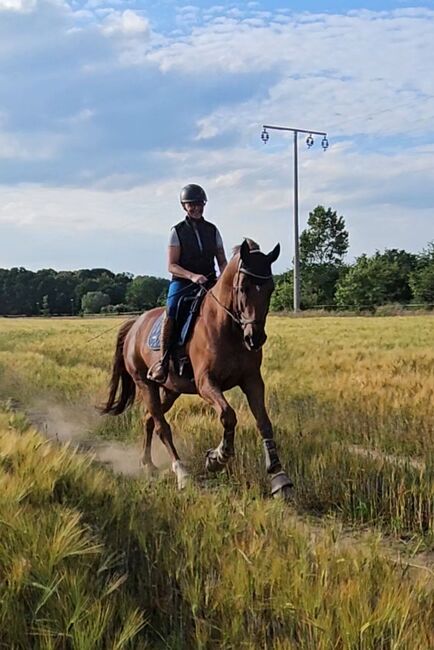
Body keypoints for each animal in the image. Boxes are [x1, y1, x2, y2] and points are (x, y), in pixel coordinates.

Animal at [100, 238, 294, 496]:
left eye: (271, 288)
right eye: (243, 287)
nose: (255, 338)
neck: (227, 327)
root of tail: (135, 324)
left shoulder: (252, 380)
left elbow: (264, 423)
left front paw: (278, 476)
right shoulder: (206, 383)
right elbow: (228, 415)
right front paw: (217, 458)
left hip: (171, 389)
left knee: (149, 419)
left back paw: (148, 464)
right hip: (145, 383)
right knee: (162, 426)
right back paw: (181, 472)